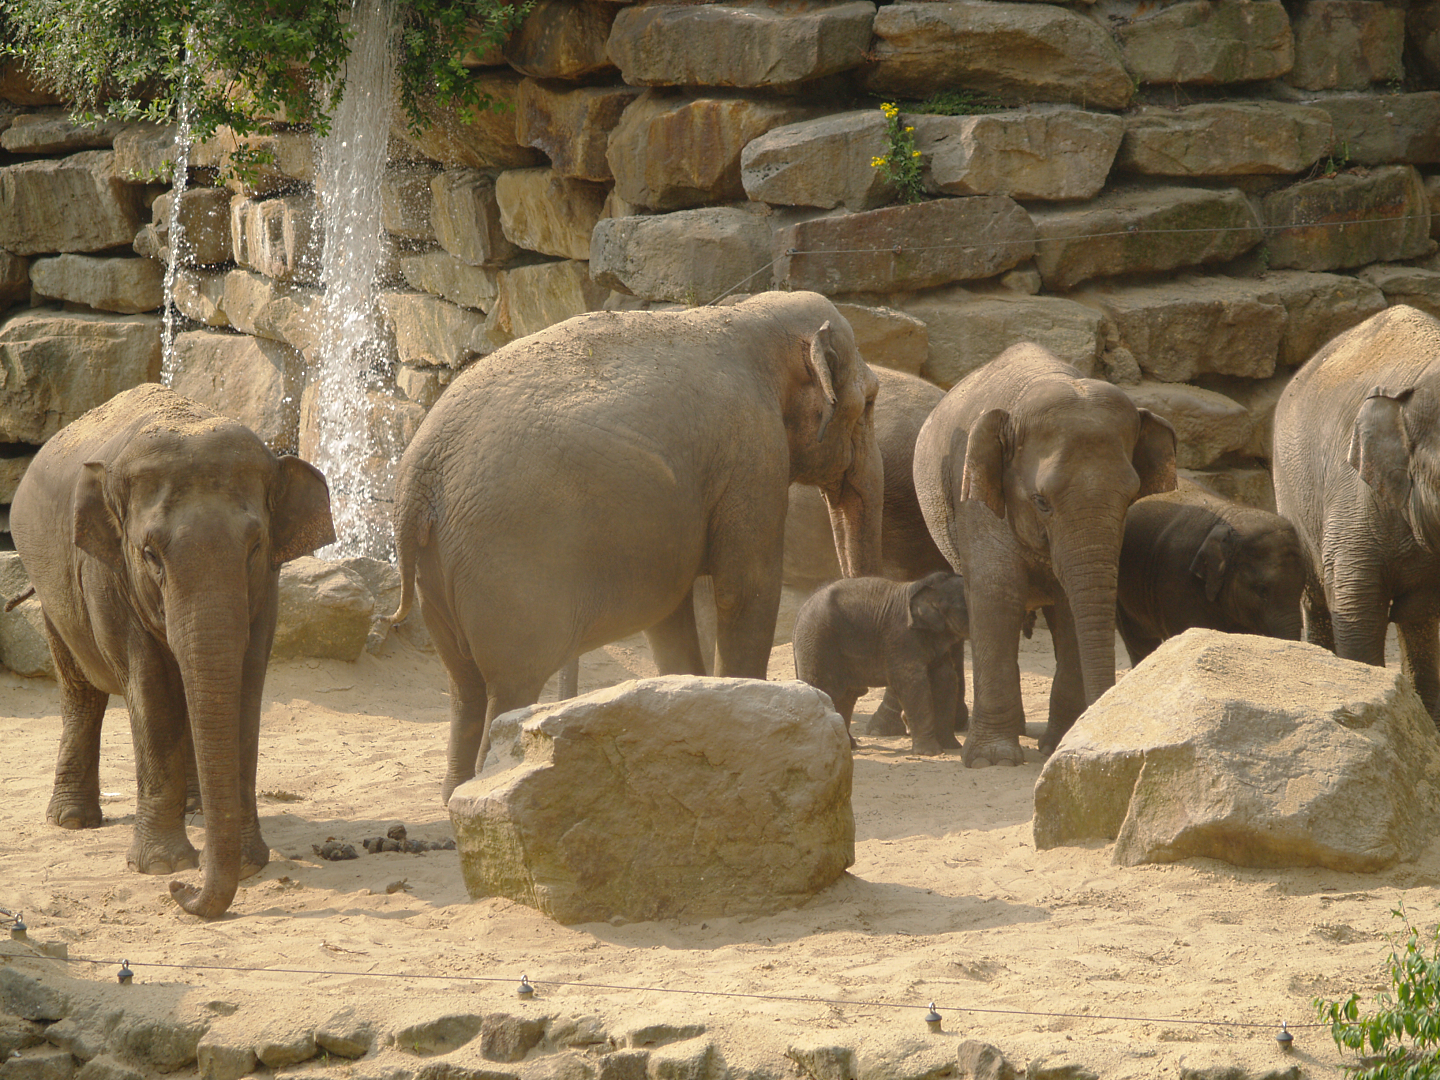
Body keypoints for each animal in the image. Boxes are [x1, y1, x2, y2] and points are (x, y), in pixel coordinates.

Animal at [8, 383, 335, 919]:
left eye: (255, 547)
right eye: (149, 555)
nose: (183, 894)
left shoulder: (267, 584)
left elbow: (246, 680)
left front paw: (247, 863)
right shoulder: (107, 573)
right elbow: (150, 688)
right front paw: (164, 867)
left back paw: (197, 811)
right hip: (50, 586)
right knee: (80, 689)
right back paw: (73, 820)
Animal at [390, 291, 884, 803]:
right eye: (869, 402)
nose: (854, 739)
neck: (747, 315)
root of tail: (418, 479)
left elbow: (670, 616)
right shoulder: (753, 453)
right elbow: (745, 591)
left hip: (437, 575)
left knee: (462, 687)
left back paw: (455, 796)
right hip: (505, 568)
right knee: (508, 686)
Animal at [792, 571, 969, 754]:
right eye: (966, 607)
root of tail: (801, 611)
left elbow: (946, 679)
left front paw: (952, 747)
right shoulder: (902, 637)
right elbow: (912, 683)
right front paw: (931, 753)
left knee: (847, 695)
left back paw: (849, 745)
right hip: (816, 642)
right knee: (825, 689)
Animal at [913, 342, 1177, 767]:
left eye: (1130, 497)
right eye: (1041, 501)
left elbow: (1070, 608)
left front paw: (1058, 746)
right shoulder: (975, 495)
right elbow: (996, 593)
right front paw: (993, 760)